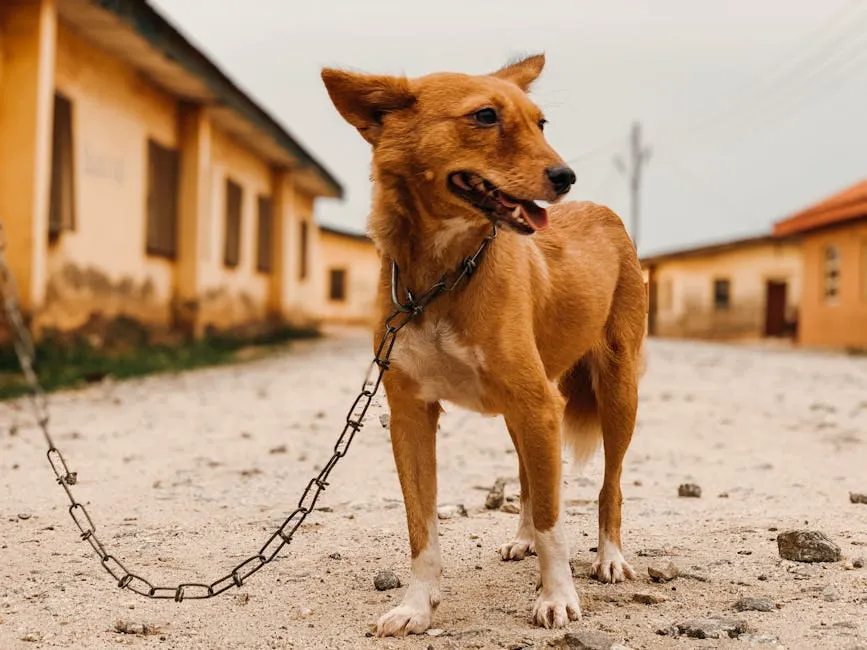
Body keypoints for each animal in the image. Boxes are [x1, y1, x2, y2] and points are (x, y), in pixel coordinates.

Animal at [322, 54, 648, 632]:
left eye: (541, 124)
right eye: (485, 116)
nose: (566, 176)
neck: (441, 277)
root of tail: (604, 210)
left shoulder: (539, 404)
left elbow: (555, 519)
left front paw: (556, 596)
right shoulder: (410, 414)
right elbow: (422, 527)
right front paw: (416, 605)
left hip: (615, 392)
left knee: (608, 486)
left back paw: (609, 557)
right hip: (524, 414)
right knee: (528, 479)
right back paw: (521, 540)